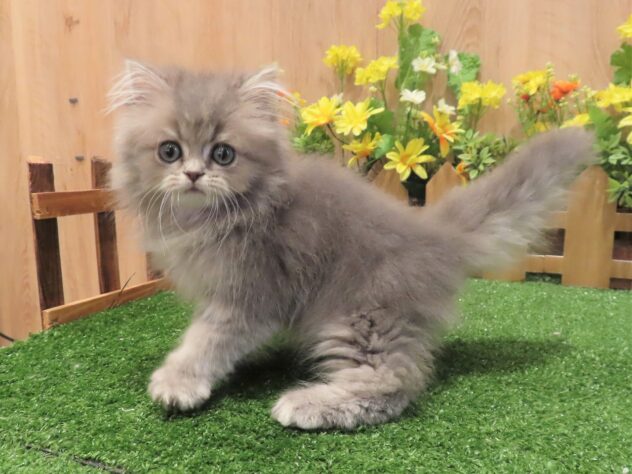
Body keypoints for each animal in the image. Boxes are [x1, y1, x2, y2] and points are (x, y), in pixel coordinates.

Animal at [109, 60, 594, 430]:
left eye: (223, 154)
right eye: (169, 151)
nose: (193, 174)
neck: (213, 219)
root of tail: (432, 234)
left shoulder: (251, 294)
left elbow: (205, 341)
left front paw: (178, 382)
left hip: (362, 315)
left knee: (393, 383)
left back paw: (309, 404)